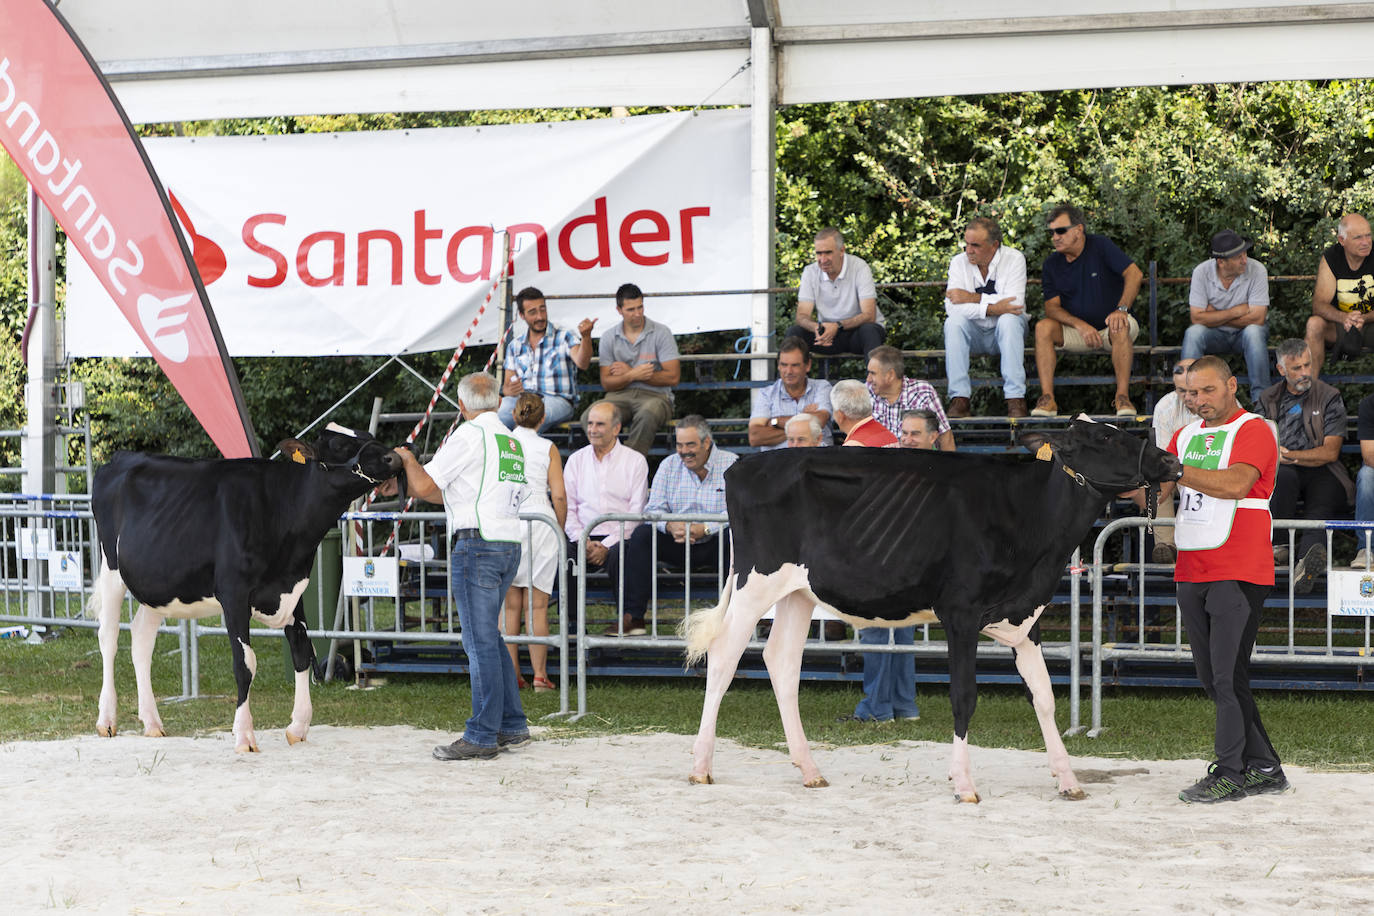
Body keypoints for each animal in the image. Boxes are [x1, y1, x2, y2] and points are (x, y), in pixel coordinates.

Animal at [88, 422, 401, 752]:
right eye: (340, 445)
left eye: (368, 436)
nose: (395, 457)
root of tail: (122, 457)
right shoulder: (234, 594)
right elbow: (245, 663)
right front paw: (245, 735)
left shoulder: (294, 590)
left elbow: (302, 651)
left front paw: (298, 726)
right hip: (111, 569)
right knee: (108, 637)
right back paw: (106, 719)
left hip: (160, 584)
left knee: (141, 638)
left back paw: (152, 722)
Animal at [684, 420, 1181, 802]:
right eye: (1103, 438)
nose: (1170, 461)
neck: (1029, 520)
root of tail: (745, 465)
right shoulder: (960, 614)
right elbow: (964, 697)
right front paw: (964, 785)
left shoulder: (1026, 617)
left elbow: (1044, 697)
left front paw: (1068, 779)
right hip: (756, 580)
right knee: (725, 655)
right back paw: (702, 766)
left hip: (797, 592)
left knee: (782, 662)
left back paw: (810, 770)